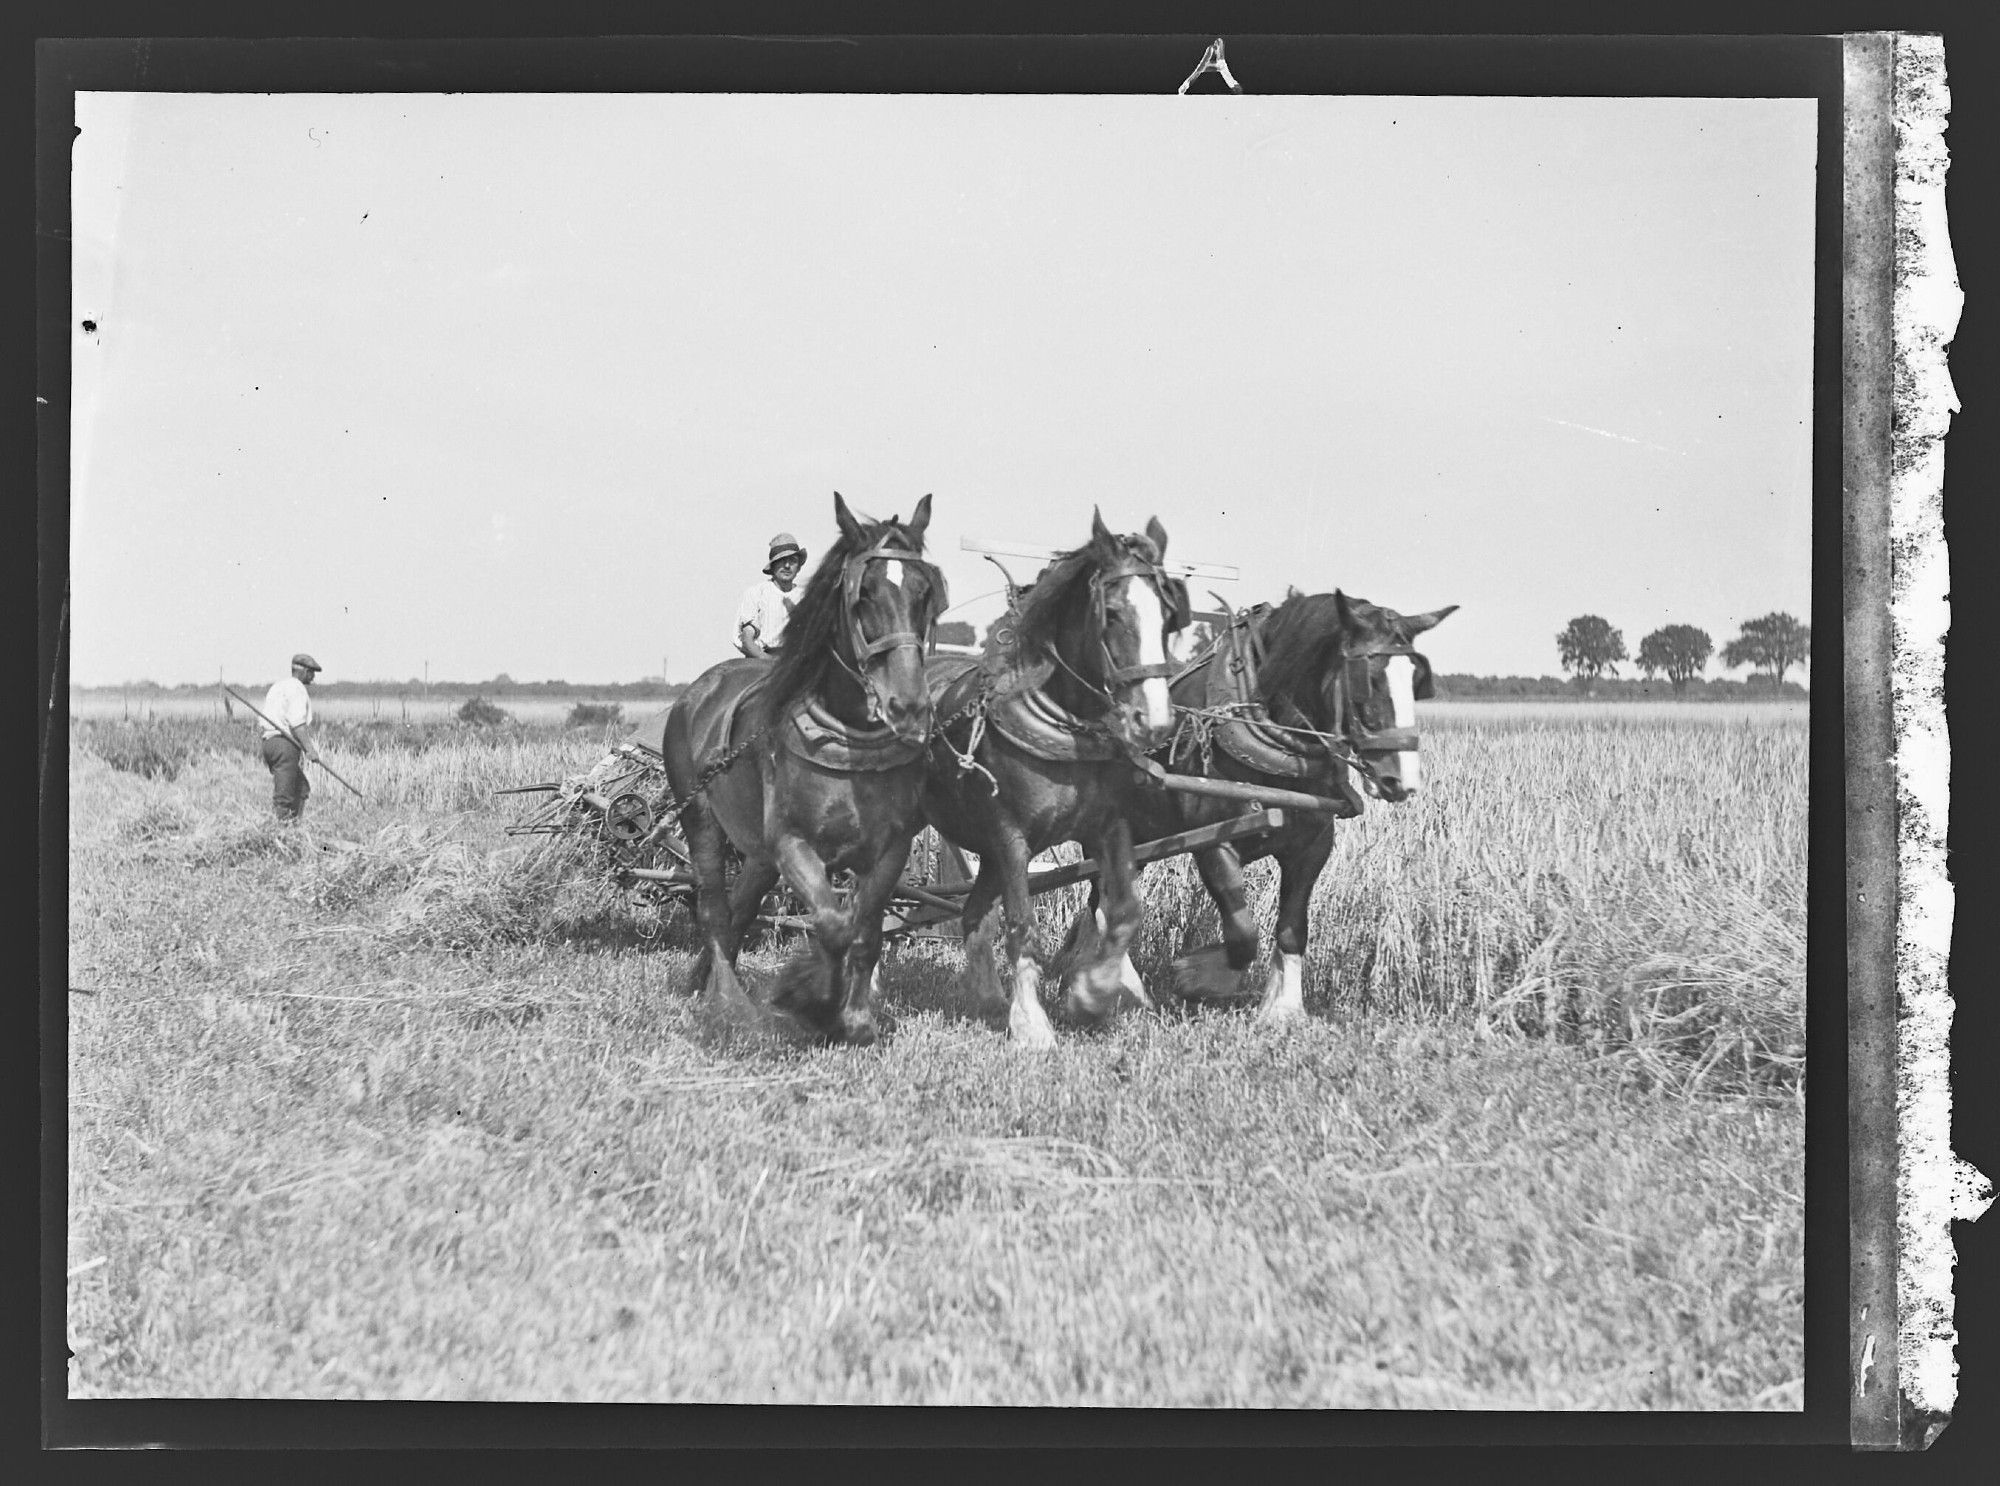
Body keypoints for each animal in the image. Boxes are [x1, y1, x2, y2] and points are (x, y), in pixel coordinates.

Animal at [70, 704, 1808, 1416]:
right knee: (785, 888)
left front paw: (1206, 984)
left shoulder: (1230, 819)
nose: (1397, 771)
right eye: (1374, 666)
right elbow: (1171, 895)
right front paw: (1128, 985)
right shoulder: (1181, 814)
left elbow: (1230, 897)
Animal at [660, 492, 948, 1048]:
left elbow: (866, 932)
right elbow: (834, 925)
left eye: (926, 593)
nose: (908, 706)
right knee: (714, 907)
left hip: (758, 852)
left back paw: (706, 978)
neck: (849, 741)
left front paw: (857, 1018)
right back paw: (724, 999)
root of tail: (696, 692)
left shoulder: (890, 849)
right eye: (863, 594)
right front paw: (811, 1002)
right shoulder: (793, 843)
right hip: (701, 818)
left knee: (741, 908)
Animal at [920, 516, 1184, 1056]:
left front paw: (1091, 994)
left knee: (973, 915)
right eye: (1113, 614)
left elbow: (1123, 911)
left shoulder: (1105, 828)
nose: (1154, 722)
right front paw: (1032, 1025)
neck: (1064, 725)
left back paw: (988, 998)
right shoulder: (1011, 839)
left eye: (1169, 617)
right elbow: (1023, 926)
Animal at [1112, 588, 1456, 1024]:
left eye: (1415, 679)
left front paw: (1284, 1007)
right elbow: (1243, 933)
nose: (1403, 780)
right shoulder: (1213, 843)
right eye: (1370, 680)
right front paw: (1198, 975)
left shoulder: (1313, 844)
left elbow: (1293, 928)